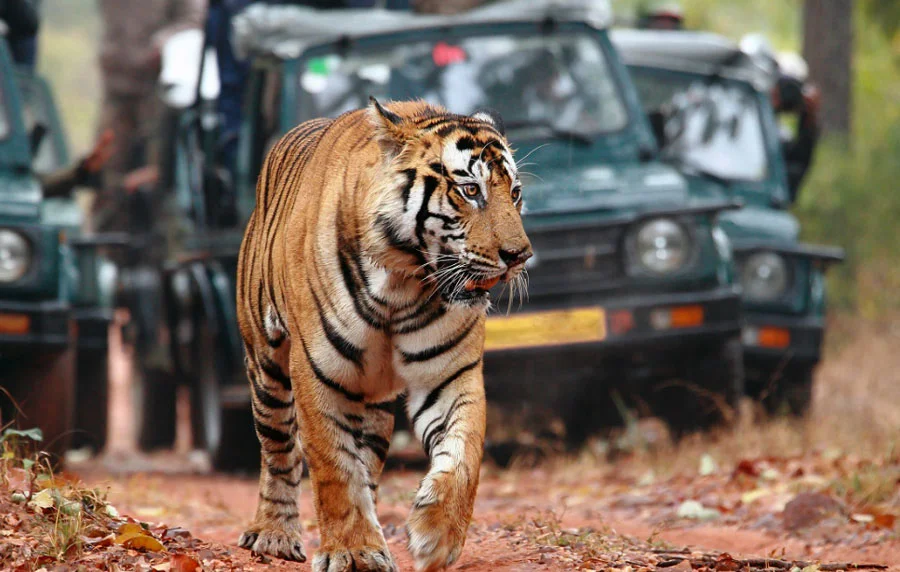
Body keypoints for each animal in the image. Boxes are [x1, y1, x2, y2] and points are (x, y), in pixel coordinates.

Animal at [235, 98, 531, 572]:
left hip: (371, 400)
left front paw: (436, 538)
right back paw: (273, 535)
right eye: (470, 191)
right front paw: (352, 551)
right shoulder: (318, 372)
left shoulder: (449, 374)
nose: (520, 256)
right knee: (278, 450)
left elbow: (464, 455)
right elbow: (333, 466)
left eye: (515, 192)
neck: (403, 283)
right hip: (267, 366)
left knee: (367, 461)